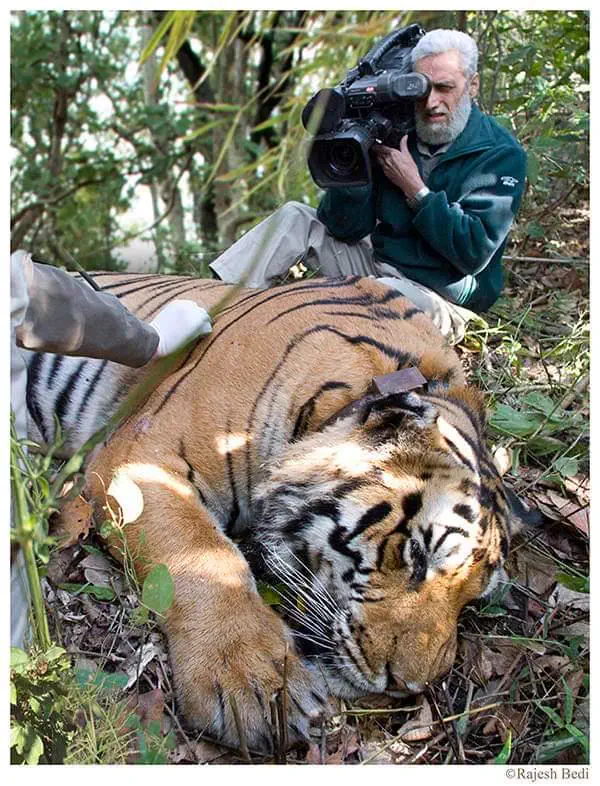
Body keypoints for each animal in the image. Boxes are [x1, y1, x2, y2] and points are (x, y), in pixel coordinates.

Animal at [24, 272, 539, 754]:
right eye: (416, 555)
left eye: (472, 600)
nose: (407, 687)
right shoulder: (139, 458)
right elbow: (202, 553)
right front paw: (254, 682)